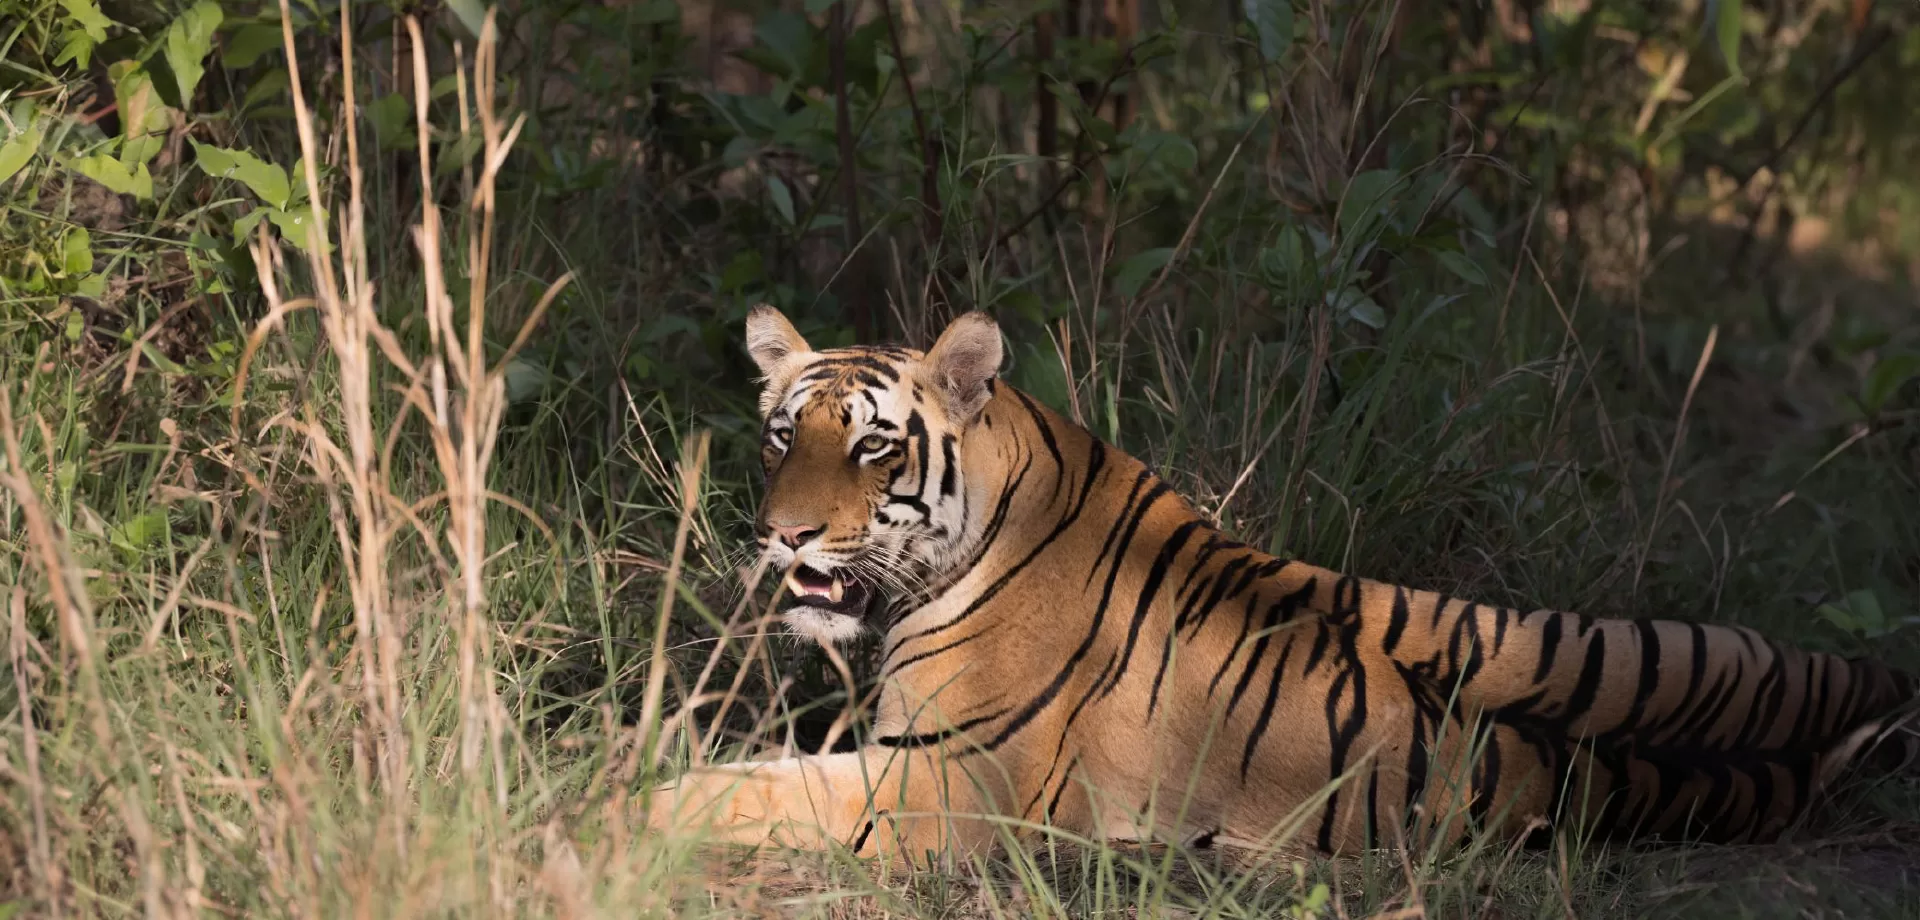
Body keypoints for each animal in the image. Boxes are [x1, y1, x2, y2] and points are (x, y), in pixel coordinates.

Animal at [648, 307, 1920, 864]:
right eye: (782, 435)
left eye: (871, 447)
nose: (779, 534)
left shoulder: (947, 783)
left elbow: (737, 790)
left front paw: (618, 805)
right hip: (1665, 645)